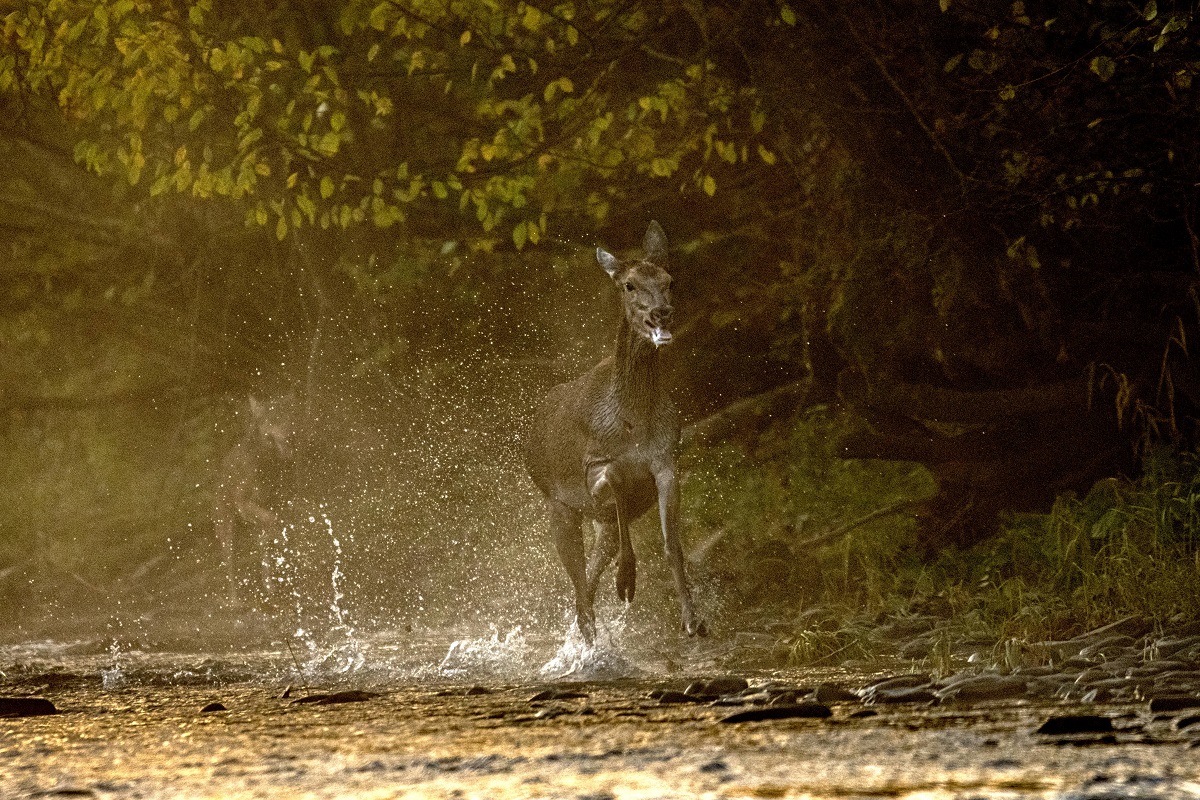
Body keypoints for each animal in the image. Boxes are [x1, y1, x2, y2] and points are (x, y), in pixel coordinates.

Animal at [212, 393, 296, 599]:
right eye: (271, 420)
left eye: (286, 418)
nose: (289, 435)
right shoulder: (242, 503)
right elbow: (272, 520)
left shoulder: (270, 501)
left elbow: (272, 522)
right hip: (226, 529)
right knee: (229, 565)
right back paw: (235, 600)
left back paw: (268, 584)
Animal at [523, 220, 705, 642]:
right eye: (629, 285)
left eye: (670, 280)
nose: (661, 313)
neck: (633, 421)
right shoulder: (596, 467)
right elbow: (619, 490)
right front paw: (626, 581)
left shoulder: (667, 460)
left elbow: (673, 544)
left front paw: (693, 619)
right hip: (558, 503)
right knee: (576, 578)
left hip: (591, 520)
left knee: (586, 583)